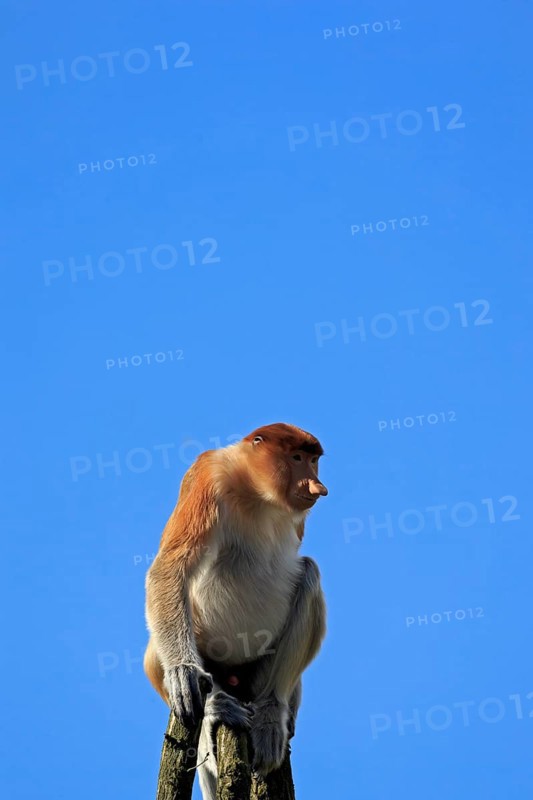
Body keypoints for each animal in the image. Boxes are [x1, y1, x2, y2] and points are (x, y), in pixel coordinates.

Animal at [143, 423, 328, 799]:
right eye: (296, 458)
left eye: (313, 460)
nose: (317, 486)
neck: (259, 493)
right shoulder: (208, 474)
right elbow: (171, 567)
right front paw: (183, 673)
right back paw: (216, 708)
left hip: (257, 673)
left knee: (310, 573)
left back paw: (271, 719)